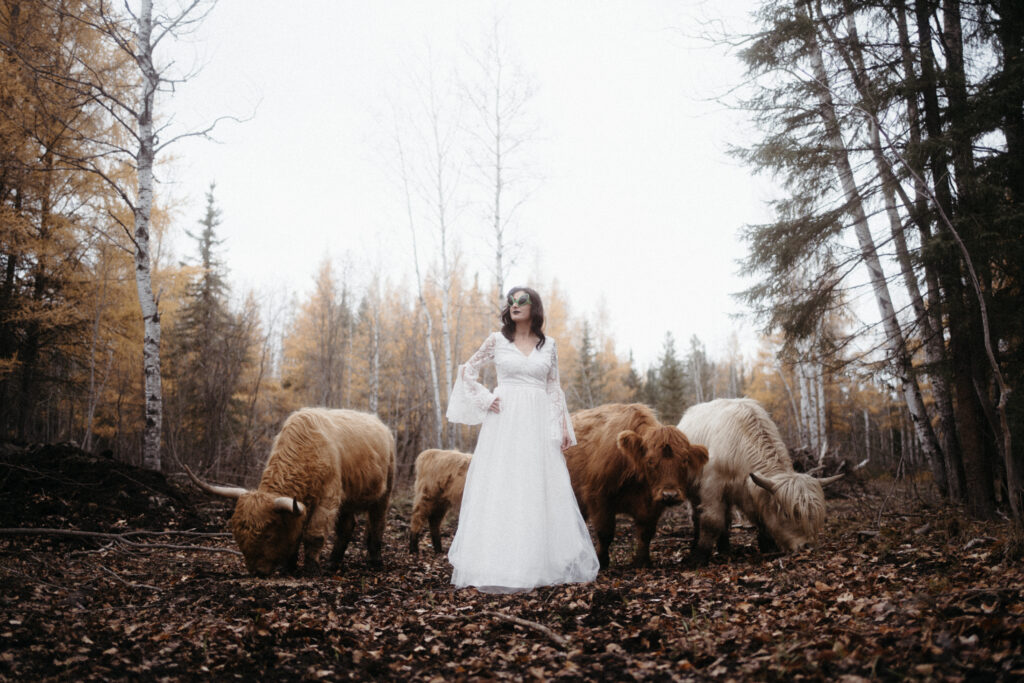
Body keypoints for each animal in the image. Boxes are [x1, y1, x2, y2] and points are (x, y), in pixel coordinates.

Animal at [186, 409, 393, 573]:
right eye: (237, 535)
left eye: (268, 535)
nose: (257, 572)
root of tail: (380, 423)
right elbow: (295, 534)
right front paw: (288, 567)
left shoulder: (328, 497)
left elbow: (314, 534)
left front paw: (311, 569)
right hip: (349, 499)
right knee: (347, 526)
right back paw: (333, 563)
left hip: (384, 491)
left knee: (378, 522)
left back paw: (375, 561)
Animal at [565, 403, 708, 569]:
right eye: (650, 461)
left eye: (684, 460)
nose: (670, 494)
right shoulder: (599, 498)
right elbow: (605, 532)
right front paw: (602, 562)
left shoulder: (653, 504)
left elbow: (645, 533)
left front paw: (642, 561)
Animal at [679, 397, 839, 565]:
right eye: (787, 514)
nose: (807, 547)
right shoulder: (712, 487)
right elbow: (712, 521)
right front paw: (699, 556)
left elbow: (760, 516)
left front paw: (768, 546)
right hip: (693, 491)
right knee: (697, 516)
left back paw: (724, 548)